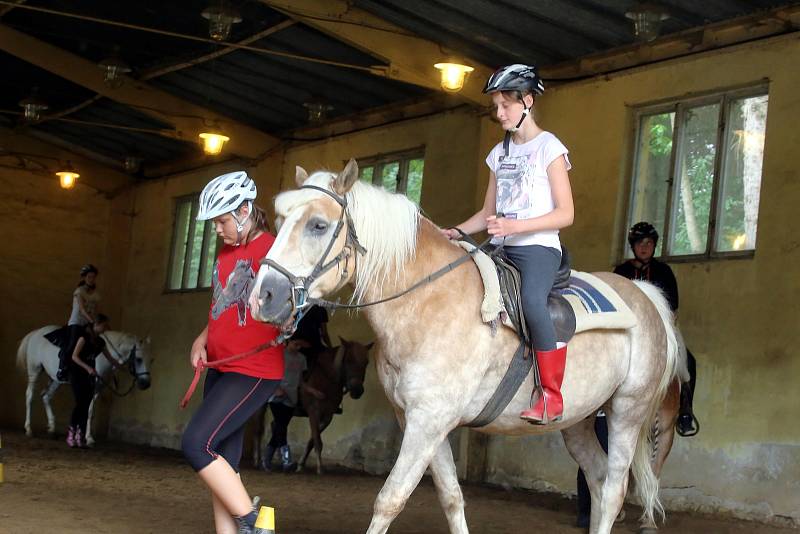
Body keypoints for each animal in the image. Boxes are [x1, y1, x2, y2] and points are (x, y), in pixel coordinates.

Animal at [18, 328, 153, 446]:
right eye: (139, 359)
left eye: (151, 360)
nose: (146, 384)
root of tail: (35, 333)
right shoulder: (89, 387)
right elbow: (88, 410)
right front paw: (88, 438)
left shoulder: (98, 388)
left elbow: (89, 411)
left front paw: (84, 437)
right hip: (34, 371)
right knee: (30, 396)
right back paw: (29, 429)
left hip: (56, 379)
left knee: (46, 396)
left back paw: (52, 430)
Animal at [247, 160, 680, 534]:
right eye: (281, 222)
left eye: (318, 225)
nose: (263, 297)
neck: (427, 299)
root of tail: (644, 295)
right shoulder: (422, 422)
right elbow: (451, 497)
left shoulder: (428, 421)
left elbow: (390, 499)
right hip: (578, 420)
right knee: (598, 479)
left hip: (627, 412)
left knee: (613, 491)